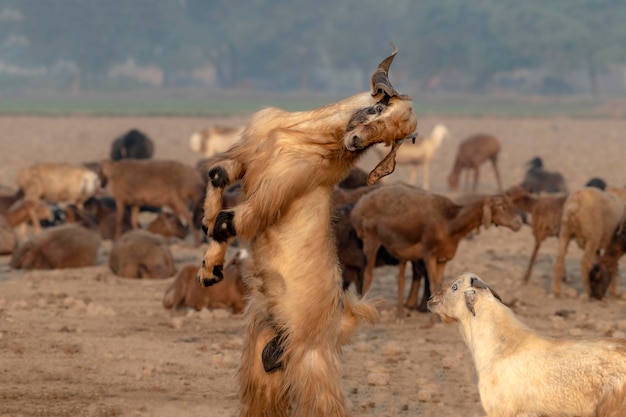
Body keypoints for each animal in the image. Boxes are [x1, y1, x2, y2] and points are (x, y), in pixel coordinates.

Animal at [197, 44, 416, 416]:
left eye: (392, 138)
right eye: (378, 107)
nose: (354, 141)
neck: (301, 135)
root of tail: (341, 323)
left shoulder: (271, 195)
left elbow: (227, 223)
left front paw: (210, 269)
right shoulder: (247, 156)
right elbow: (217, 176)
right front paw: (206, 240)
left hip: (312, 362)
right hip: (266, 356)